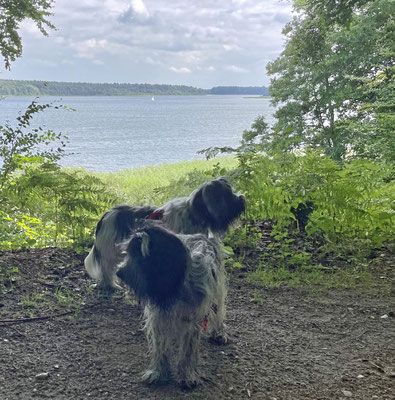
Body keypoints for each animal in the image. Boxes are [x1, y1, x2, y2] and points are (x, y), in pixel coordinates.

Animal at [85, 178, 246, 290]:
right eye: (229, 196)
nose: (242, 197)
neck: (194, 213)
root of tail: (106, 215)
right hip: (110, 251)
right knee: (106, 269)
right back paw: (110, 285)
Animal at [116, 222, 227, 388]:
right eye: (128, 252)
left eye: (139, 254)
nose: (119, 272)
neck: (173, 285)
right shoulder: (157, 318)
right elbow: (160, 348)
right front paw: (158, 372)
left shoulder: (191, 320)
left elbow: (187, 351)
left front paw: (186, 376)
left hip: (217, 292)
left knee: (218, 312)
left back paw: (219, 333)